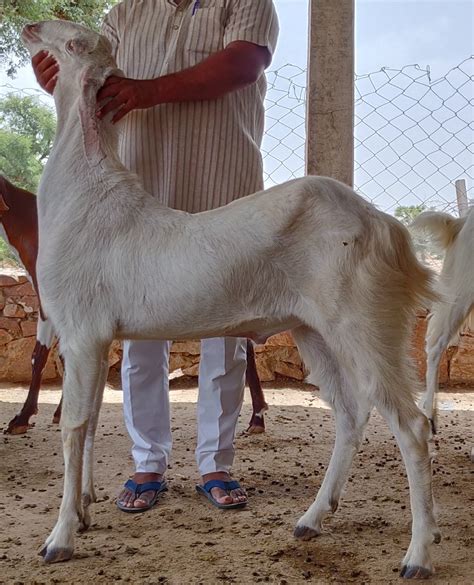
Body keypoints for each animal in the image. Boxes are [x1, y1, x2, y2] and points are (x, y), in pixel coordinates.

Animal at [23, 20, 440, 576]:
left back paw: (417, 554)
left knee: (411, 424)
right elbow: (88, 421)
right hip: (313, 330)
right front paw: (86, 512)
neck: (84, 199)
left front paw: (60, 538)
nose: (31, 26)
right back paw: (313, 519)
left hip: (365, 323)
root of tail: (387, 228)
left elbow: (72, 425)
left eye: (73, 44)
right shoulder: (92, 338)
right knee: (351, 413)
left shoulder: (82, 330)